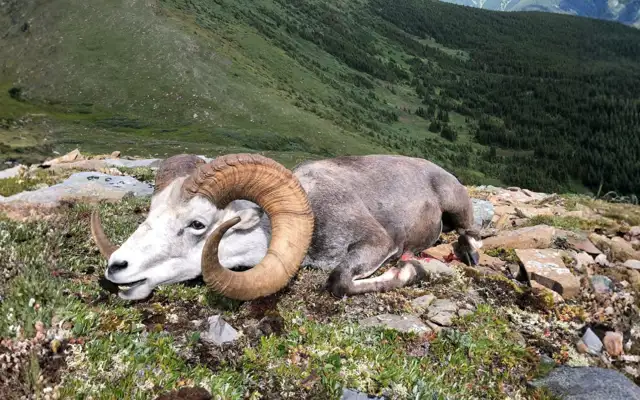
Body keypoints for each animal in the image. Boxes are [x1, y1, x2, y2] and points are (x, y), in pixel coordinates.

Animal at [91, 153, 482, 301]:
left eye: (197, 223)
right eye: (151, 214)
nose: (117, 268)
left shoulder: (378, 243)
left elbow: (338, 282)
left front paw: (414, 271)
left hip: (457, 206)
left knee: (469, 232)